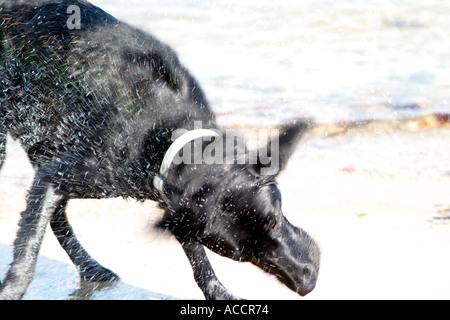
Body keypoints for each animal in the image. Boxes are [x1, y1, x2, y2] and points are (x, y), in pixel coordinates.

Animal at [0, 0, 320, 300]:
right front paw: (12, 289)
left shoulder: (176, 202)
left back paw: (90, 268)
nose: (308, 281)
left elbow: (195, 253)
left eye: (274, 220)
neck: (165, 132)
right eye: (243, 256)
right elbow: (27, 251)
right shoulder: (57, 175)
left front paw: (217, 291)